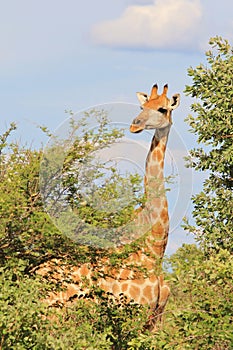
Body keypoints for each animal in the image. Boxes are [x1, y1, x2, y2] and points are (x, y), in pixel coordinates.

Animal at [37, 82, 181, 330]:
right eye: (142, 106)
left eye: (162, 109)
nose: (135, 124)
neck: (154, 248)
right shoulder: (131, 314)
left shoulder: (155, 321)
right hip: (53, 318)